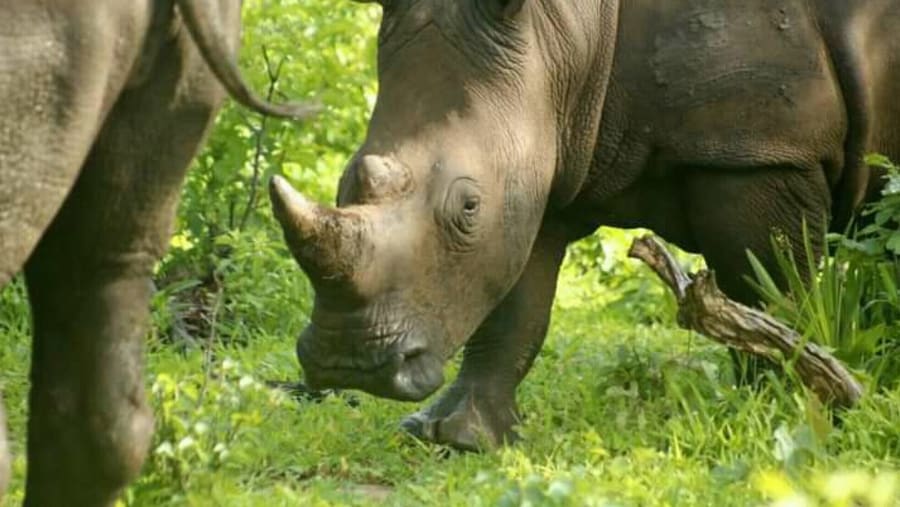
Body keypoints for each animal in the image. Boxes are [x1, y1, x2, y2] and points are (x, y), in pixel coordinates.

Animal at [269, 0, 899, 451]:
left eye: (468, 207)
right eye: (348, 180)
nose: (348, 366)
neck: (564, 35)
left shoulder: (759, 151)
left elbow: (767, 291)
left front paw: (774, 412)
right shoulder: (543, 152)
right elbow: (514, 307)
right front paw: (459, 436)